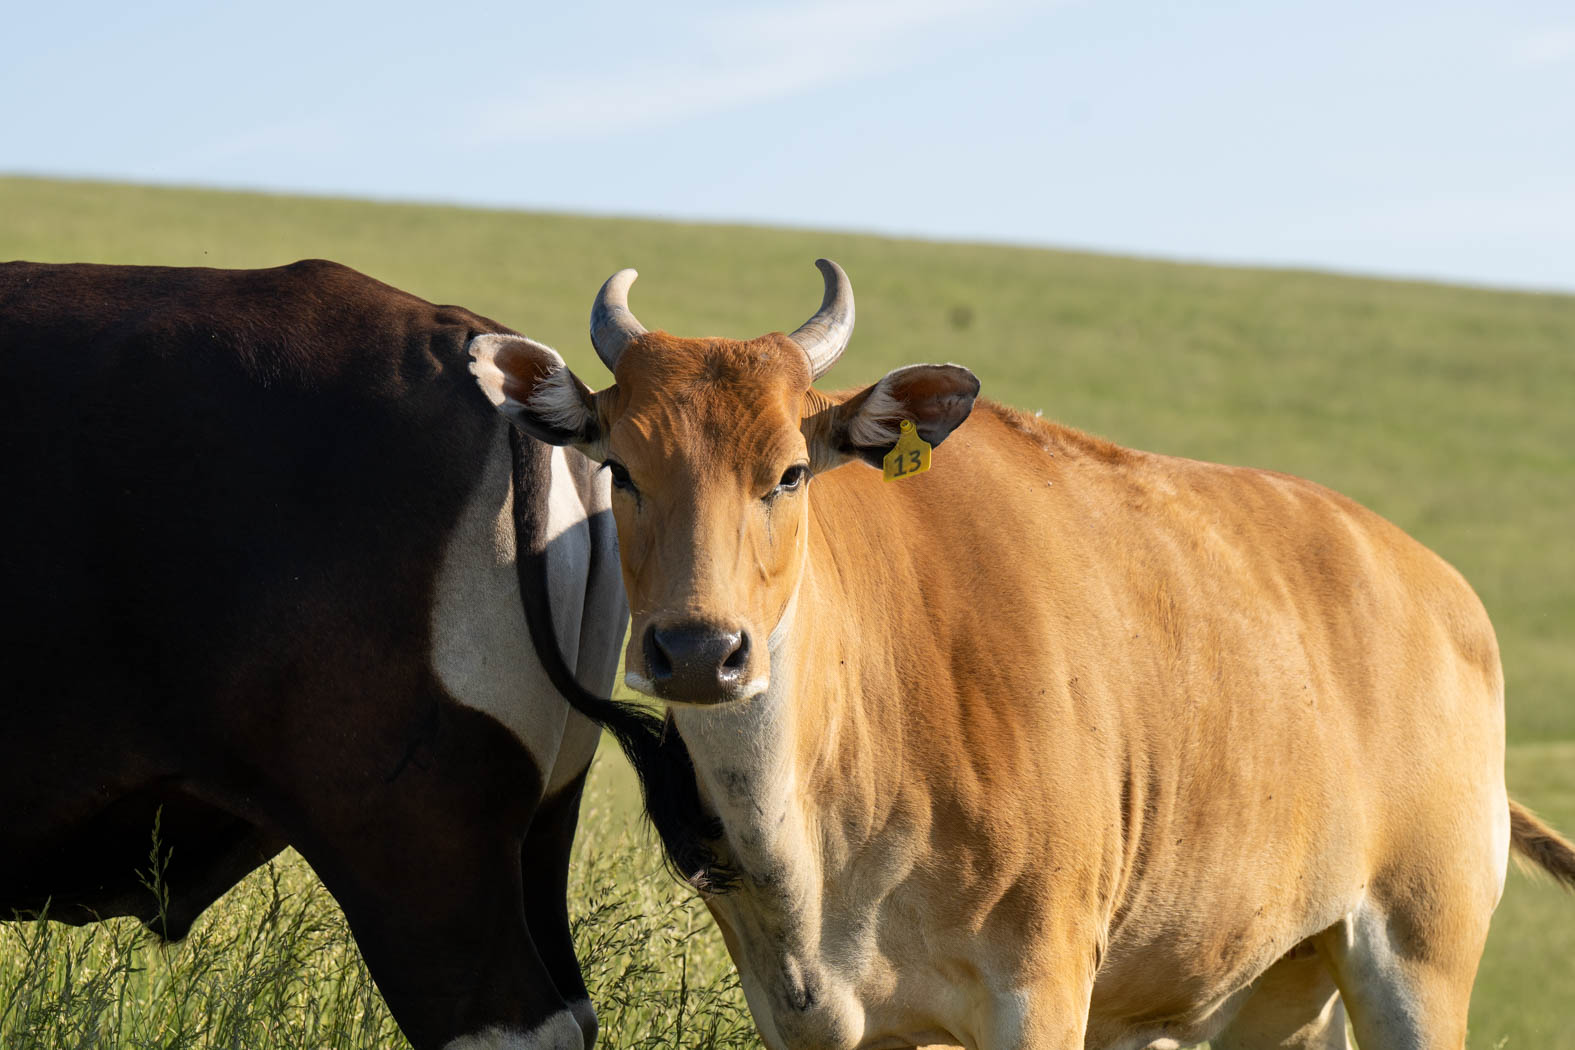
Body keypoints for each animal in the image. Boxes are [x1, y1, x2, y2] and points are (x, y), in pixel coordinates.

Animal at [469, 262, 1575, 1050]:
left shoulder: (1039, 990)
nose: (701, 649)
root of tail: (1443, 595)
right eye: (620, 468)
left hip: (1418, 962)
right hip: (1284, 987)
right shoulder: (814, 1023)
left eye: (787, 472)